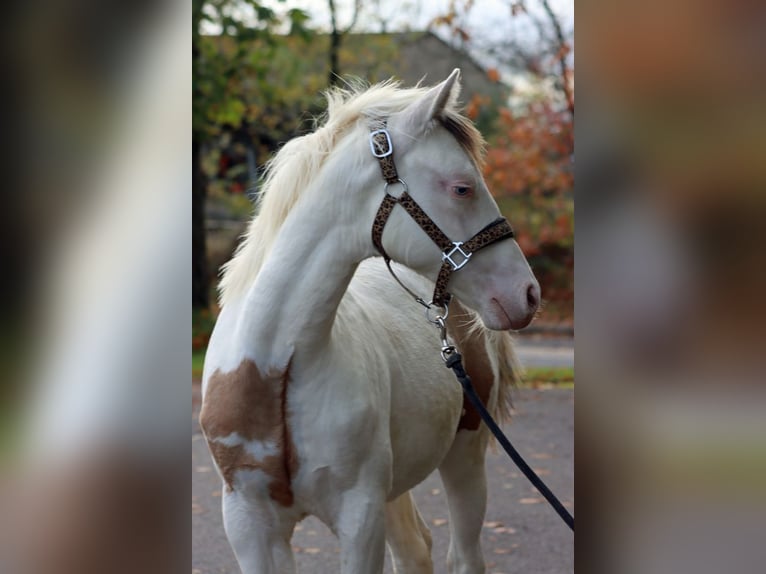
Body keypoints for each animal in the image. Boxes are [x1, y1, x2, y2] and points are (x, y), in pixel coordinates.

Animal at [200, 69, 540, 574]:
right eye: (462, 187)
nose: (527, 294)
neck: (274, 372)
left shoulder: (359, 517)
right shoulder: (249, 526)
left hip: (465, 455)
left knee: (464, 556)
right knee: (417, 549)